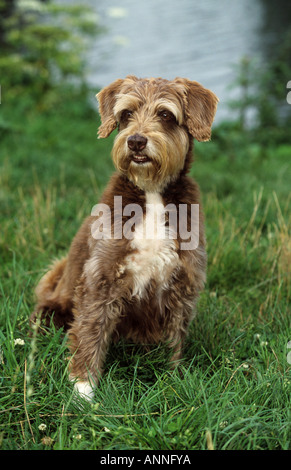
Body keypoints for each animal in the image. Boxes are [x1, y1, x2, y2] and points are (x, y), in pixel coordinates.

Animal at [32, 75, 219, 398]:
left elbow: (174, 340)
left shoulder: (183, 283)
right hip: (52, 310)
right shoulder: (101, 278)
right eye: (127, 113)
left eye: (165, 114)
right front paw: (83, 390)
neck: (151, 192)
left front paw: (172, 380)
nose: (136, 141)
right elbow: (90, 331)